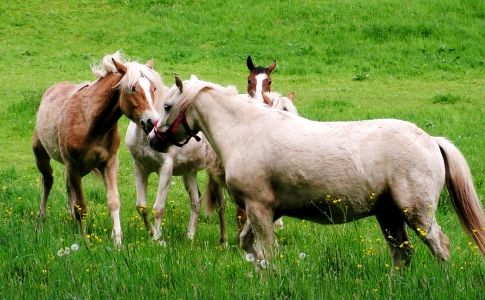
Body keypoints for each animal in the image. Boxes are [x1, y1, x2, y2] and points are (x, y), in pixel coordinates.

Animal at [33, 51, 164, 244]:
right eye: (132, 88)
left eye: (153, 88)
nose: (152, 122)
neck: (90, 123)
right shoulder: (73, 166)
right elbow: (81, 207)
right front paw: (85, 242)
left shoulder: (109, 163)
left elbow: (113, 201)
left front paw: (118, 241)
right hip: (42, 156)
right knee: (48, 180)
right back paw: (42, 217)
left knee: (68, 187)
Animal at [147, 75, 484, 272]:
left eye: (167, 106)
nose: (152, 139)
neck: (245, 131)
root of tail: (431, 140)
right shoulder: (261, 211)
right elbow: (249, 246)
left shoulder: (258, 209)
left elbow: (268, 253)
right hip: (389, 215)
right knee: (402, 254)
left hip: (416, 213)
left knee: (440, 247)